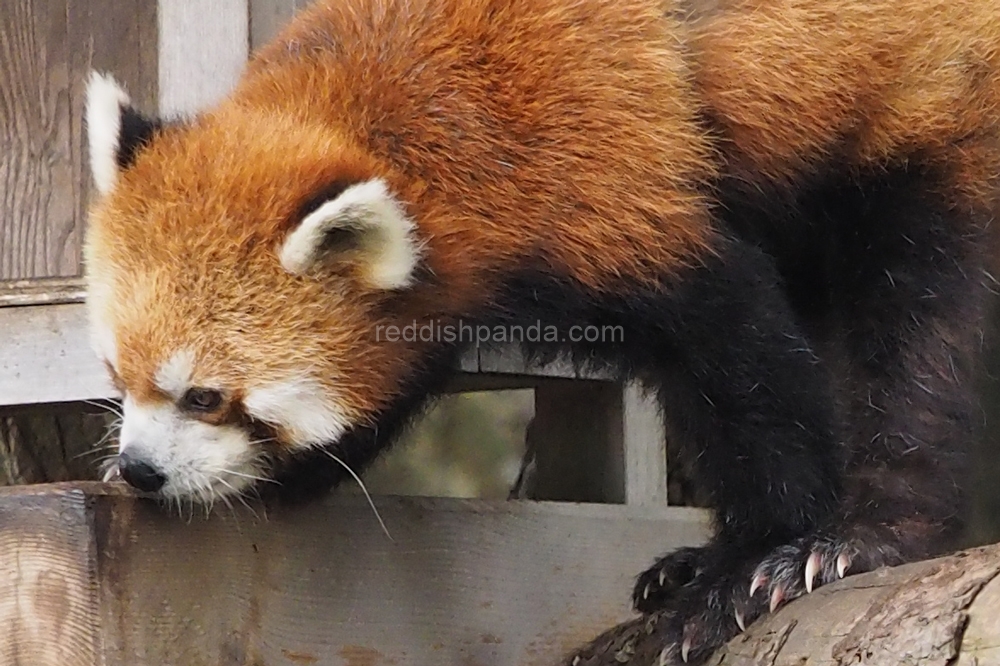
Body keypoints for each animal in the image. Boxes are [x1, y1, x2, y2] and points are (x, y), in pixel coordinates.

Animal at [82, 0, 1000, 660]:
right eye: (116, 376)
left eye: (205, 396)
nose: (142, 470)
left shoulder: (620, 179)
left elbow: (743, 366)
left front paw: (749, 562)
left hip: (942, 115)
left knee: (922, 335)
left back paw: (859, 536)